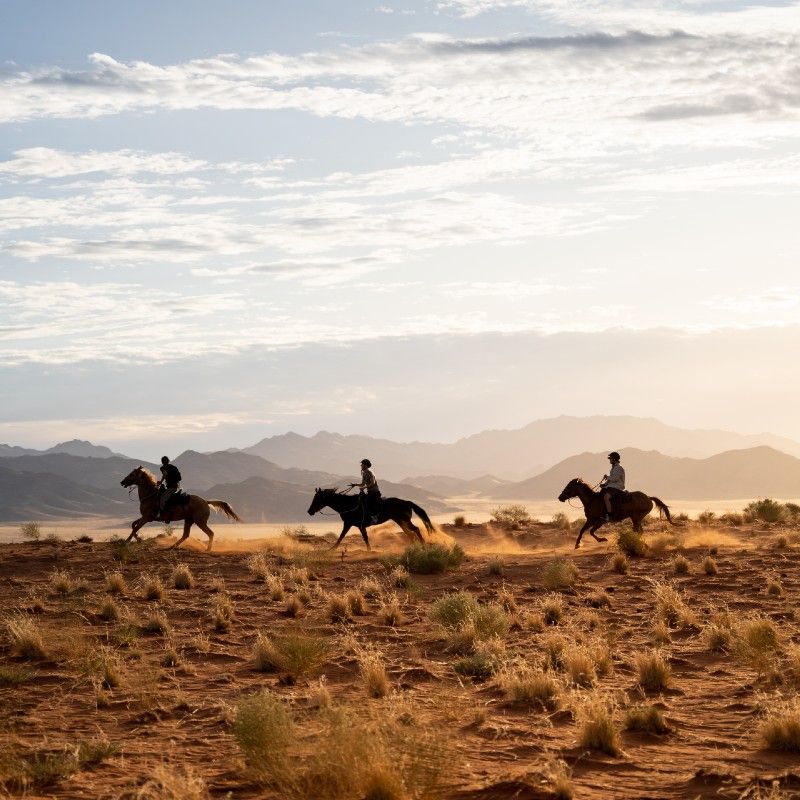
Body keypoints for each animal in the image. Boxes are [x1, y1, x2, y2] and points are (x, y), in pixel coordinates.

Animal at [307, 488, 435, 551]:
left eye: (317, 499)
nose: (309, 511)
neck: (348, 504)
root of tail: (407, 502)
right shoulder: (350, 524)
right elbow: (343, 536)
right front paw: (332, 548)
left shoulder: (355, 525)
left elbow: (359, 537)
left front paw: (369, 550)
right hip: (400, 521)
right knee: (410, 533)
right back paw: (413, 546)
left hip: (405, 520)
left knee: (415, 529)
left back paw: (423, 545)